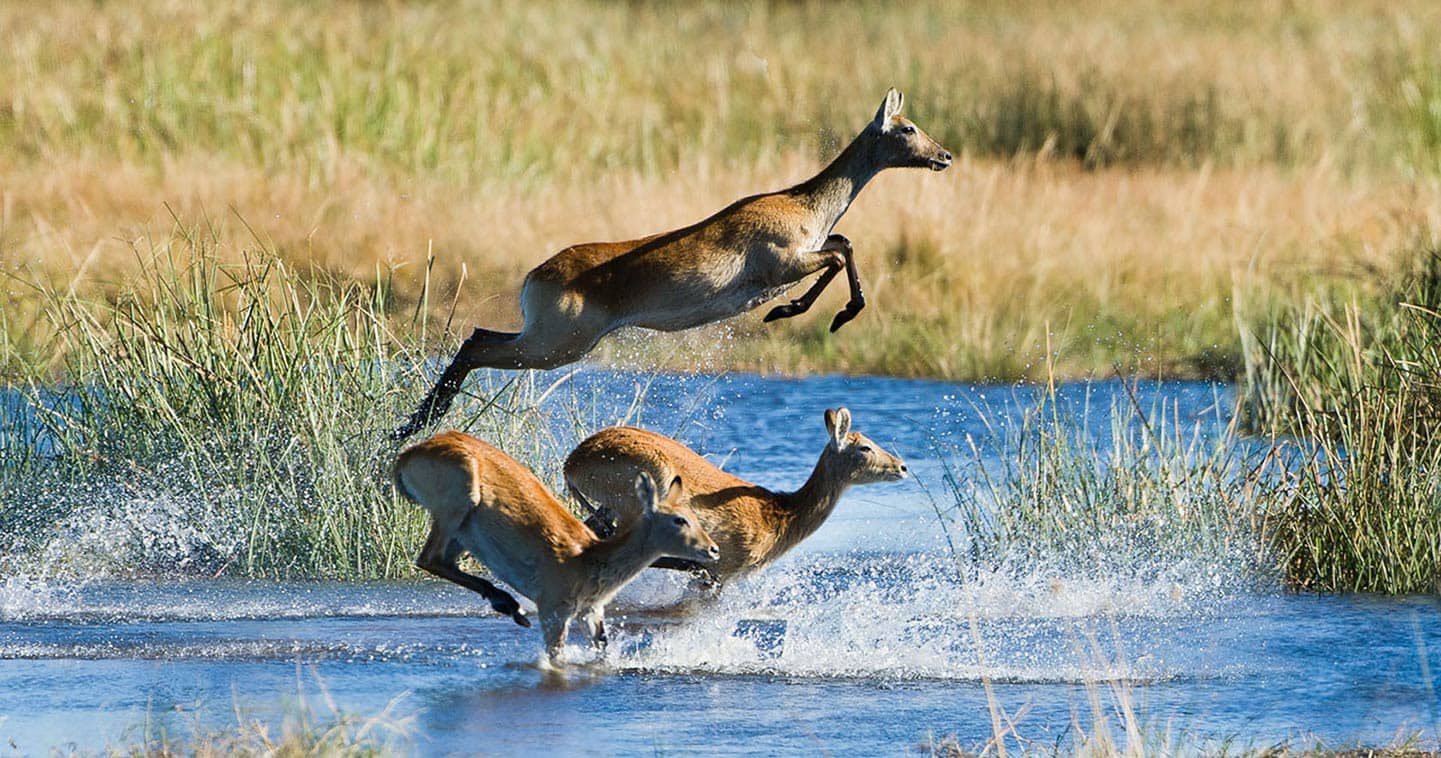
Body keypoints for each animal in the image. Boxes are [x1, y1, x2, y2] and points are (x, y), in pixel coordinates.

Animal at [389, 90, 951, 443]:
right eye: (907, 127)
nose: (944, 155)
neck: (804, 203)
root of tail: (535, 275)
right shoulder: (784, 264)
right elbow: (838, 253)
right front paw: (805, 313)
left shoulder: (810, 250)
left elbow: (845, 242)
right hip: (554, 345)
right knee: (476, 343)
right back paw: (412, 425)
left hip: (548, 342)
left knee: (476, 336)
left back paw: (412, 425)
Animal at [391, 432, 717, 668]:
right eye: (679, 519)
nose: (713, 550)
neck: (588, 559)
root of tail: (407, 455)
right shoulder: (554, 612)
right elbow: (555, 658)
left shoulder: (591, 612)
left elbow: (602, 648)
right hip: (458, 505)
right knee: (428, 558)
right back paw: (510, 606)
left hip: (462, 532)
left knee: (442, 562)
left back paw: (510, 606)